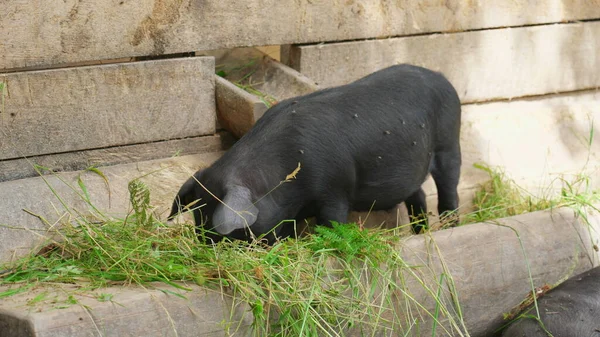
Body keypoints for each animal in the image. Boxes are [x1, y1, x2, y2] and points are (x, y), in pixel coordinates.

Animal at [171, 63, 462, 242]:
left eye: (233, 233)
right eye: (198, 222)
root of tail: (441, 77)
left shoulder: (335, 189)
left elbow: (332, 221)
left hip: (449, 145)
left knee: (449, 192)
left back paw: (451, 227)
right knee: (419, 195)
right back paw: (421, 233)